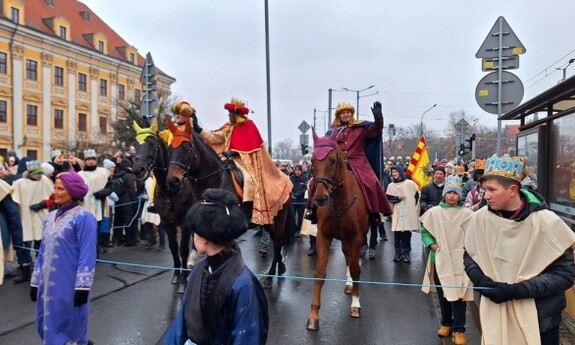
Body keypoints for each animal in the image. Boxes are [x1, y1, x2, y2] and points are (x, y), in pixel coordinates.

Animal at [164, 117, 294, 288]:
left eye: (187, 148)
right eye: (169, 149)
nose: (172, 181)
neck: (214, 183)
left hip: (278, 219)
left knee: (278, 242)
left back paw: (270, 276)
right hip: (268, 221)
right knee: (275, 241)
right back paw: (281, 267)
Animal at [308, 127, 372, 330]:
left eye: (333, 160)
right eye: (312, 160)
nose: (320, 198)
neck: (336, 200)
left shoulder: (356, 237)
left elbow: (356, 268)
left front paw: (356, 304)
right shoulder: (323, 236)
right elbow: (320, 273)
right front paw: (313, 315)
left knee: (353, 260)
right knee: (347, 256)